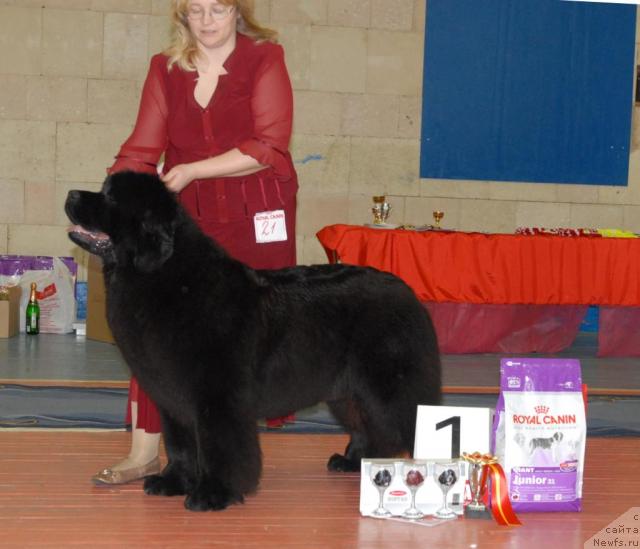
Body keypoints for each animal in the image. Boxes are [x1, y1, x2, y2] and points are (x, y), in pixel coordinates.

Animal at [63, 171, 440, 510]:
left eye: (111, 197)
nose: (70, 194)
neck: (166, 278)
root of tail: (407, 292)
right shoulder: (170, 395)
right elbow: (180, 444)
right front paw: (174, 481)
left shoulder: (217, 396)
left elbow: (220, 446)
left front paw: (214, 493)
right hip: (347, 391)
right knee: (368, 426)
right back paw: (355, 462)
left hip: (390, 386)